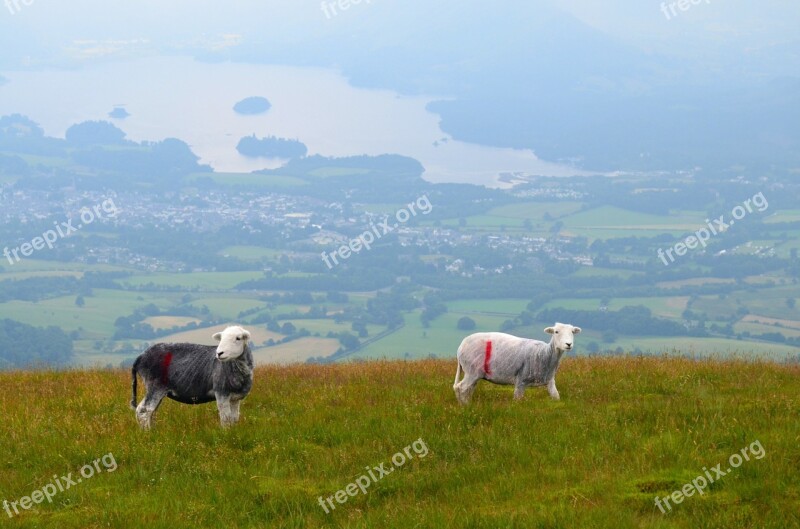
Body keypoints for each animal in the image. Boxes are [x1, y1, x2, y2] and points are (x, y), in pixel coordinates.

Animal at [450, 322, 580, 404]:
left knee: (467, 389)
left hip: (474, 373)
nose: (569, 344)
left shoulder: (550, 380)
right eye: (556, 332)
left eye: (572, 332)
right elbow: (517, 400)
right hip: (471, 370)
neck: (544, 354)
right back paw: (465, 407)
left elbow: (556, 397)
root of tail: (460, 347)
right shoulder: (521, 380)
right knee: (461, 388)